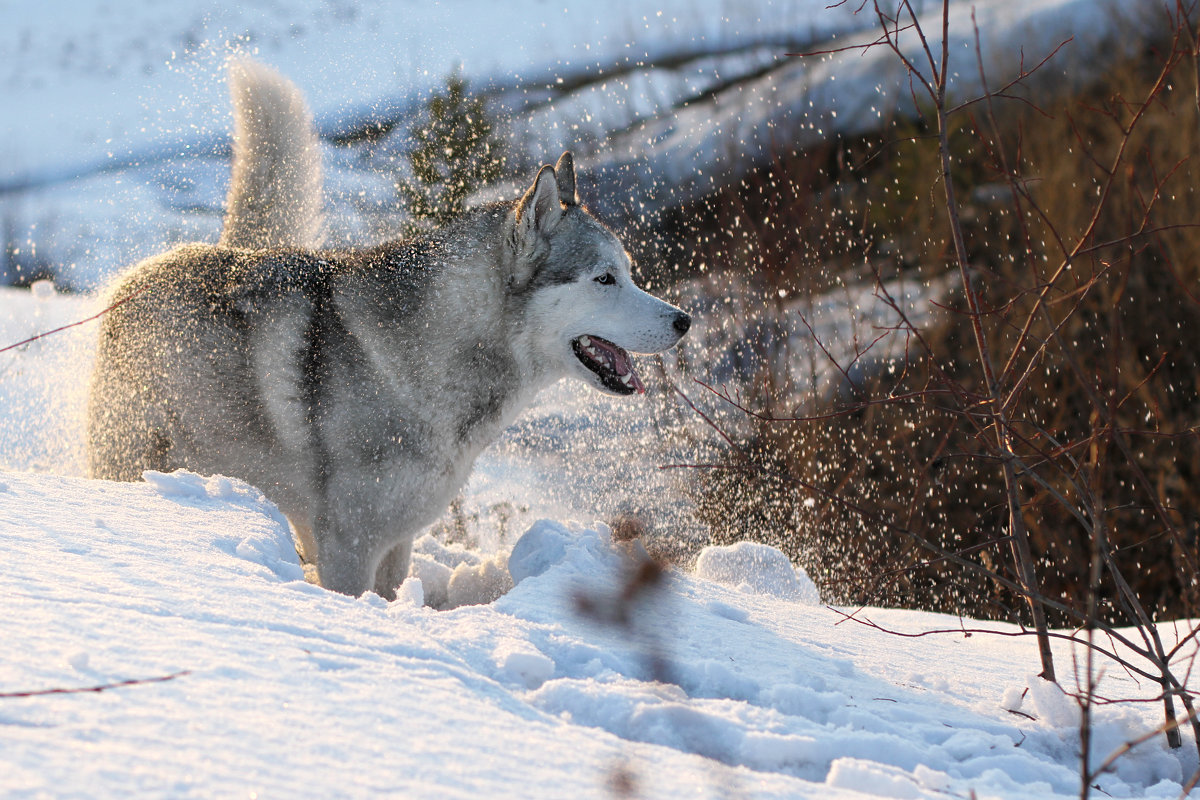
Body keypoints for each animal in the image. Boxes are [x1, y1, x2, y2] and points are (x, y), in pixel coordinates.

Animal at [87, 62, 696, 597]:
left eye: (630, 273)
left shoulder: (396, 543)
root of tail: (146, 270)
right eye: (604, 279)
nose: (684, 321)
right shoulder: (348, 548)